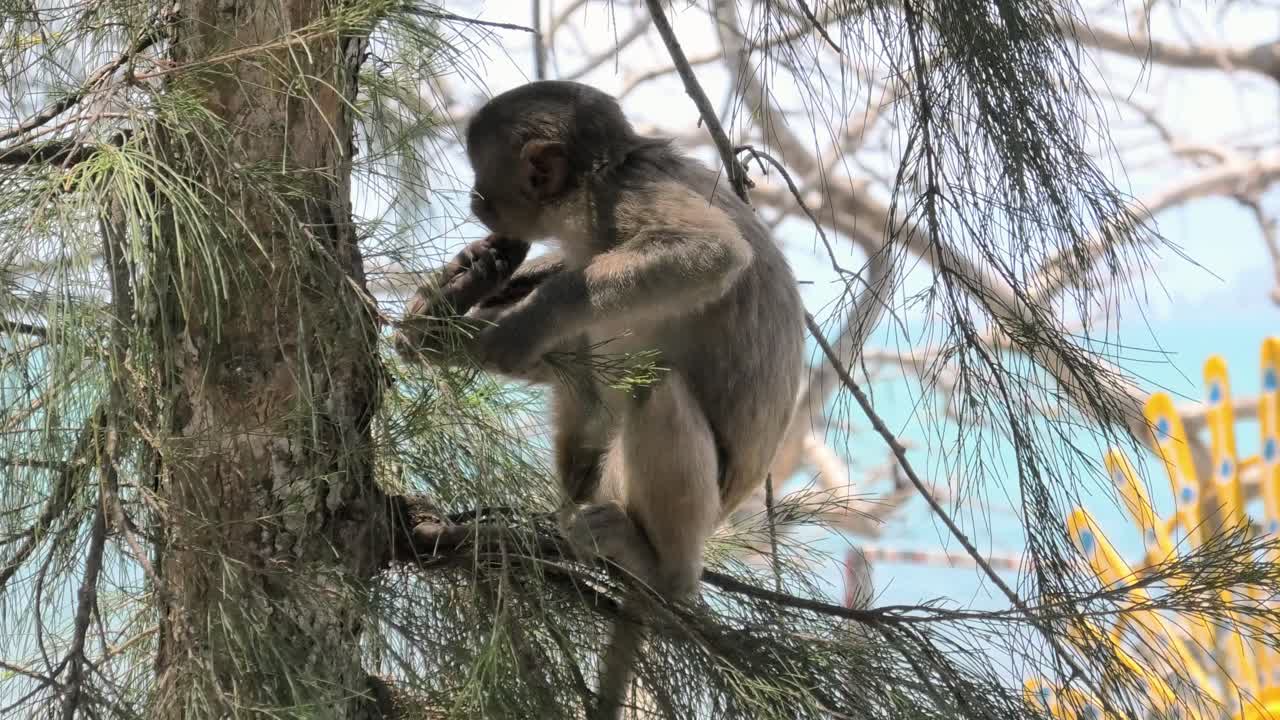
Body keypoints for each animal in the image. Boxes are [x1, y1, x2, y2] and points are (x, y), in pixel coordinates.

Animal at [395, 80, 805, 719]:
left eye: (483, 180)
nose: (473, 200)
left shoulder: (621, 196)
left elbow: (709, 252)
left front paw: (520, 319)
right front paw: (467, 280)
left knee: (654, 384)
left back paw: (666, 575)